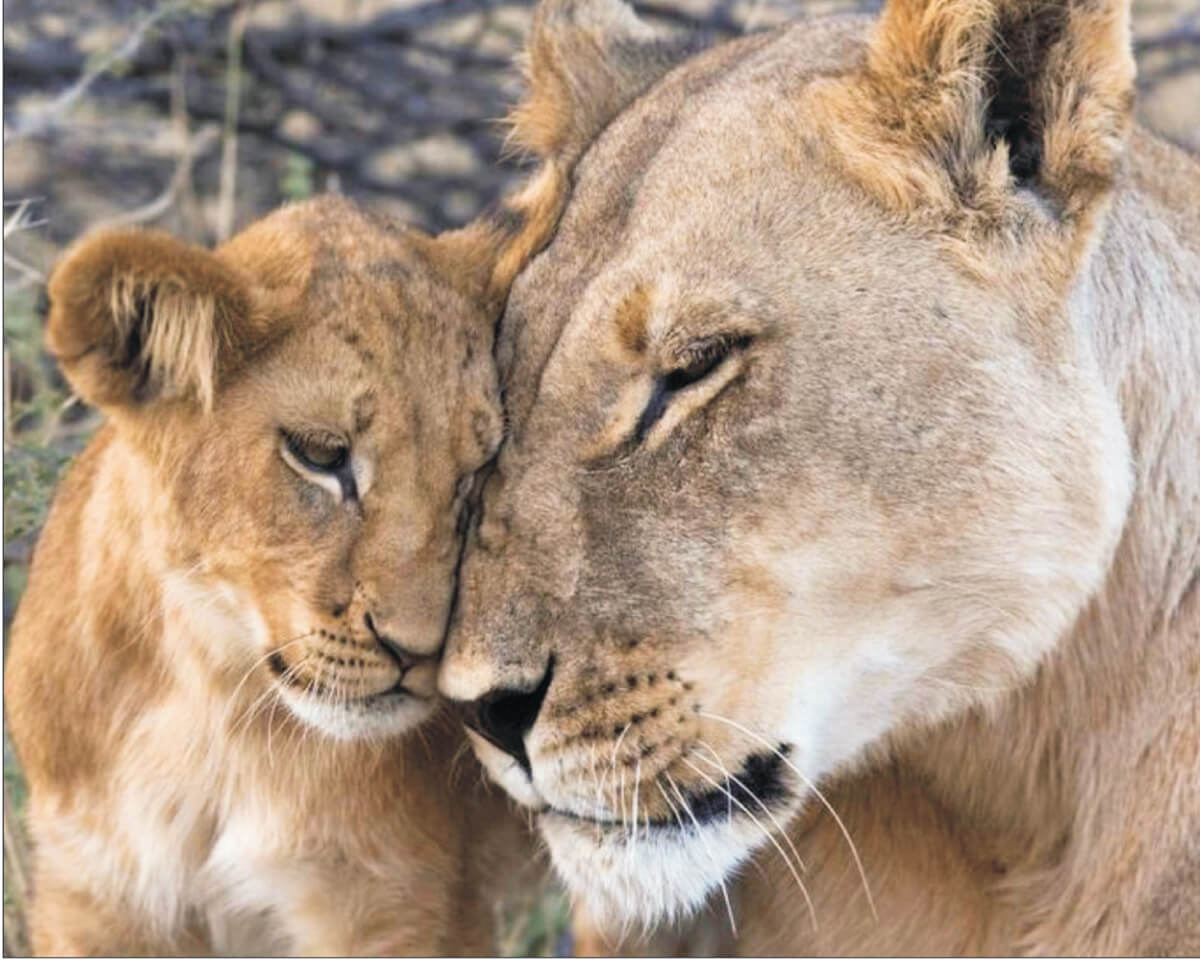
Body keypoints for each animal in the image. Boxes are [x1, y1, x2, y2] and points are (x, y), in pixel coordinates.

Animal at [2, 17, 669, 943]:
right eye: (319, 455)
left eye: (476, 471)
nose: (419, 653)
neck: (210, 711)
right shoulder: (88, 892)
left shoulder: (400, 905)